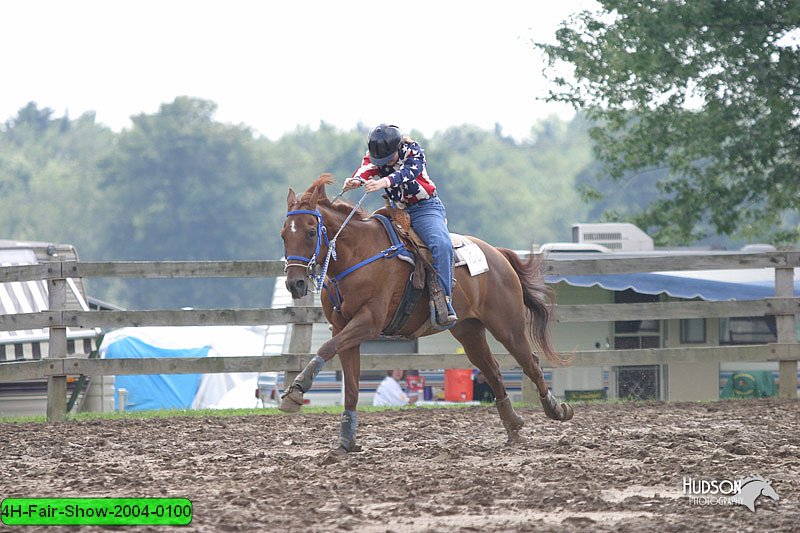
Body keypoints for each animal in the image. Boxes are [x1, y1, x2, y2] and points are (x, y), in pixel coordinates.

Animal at [278, 174, 572, 454]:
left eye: (311, 232)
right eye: (283, 235)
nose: (295, 283)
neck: (358, 255)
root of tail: (497, 255)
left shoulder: (368, 323)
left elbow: (326, 348)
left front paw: (296, 390)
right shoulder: (343, 329)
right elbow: (350, 386)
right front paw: (345, 442)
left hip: (508, 326)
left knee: (531, 363)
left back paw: (557, 410)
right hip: (469, 331)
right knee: (494, 372)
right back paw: (513, 428)